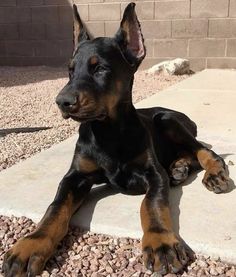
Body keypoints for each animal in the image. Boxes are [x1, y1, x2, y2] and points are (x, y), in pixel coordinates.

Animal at [2, 2, 230, 276]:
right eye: (70, 70)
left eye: (100, 68)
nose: (62, 102)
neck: (107, 132)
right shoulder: (75, 176)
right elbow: (55, 207)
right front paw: (30, 245)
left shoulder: (153, 174)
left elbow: (152, 204)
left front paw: (160, 242)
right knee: (188, 155)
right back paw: (178, 169)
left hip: (167, 120)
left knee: (204, 151)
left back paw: (213, 173)